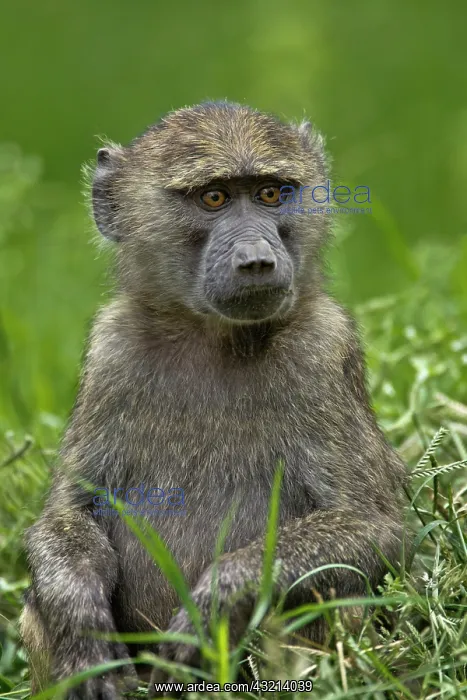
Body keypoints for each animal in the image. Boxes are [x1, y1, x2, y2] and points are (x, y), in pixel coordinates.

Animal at [20, 101, 406, 699]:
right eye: (214, 198)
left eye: (271, 193)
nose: (256, 261)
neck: (213, 336)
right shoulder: (110, 352)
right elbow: (66, 513)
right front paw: (81, 627)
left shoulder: (325, 349)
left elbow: (376, 528)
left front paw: (215, 606)